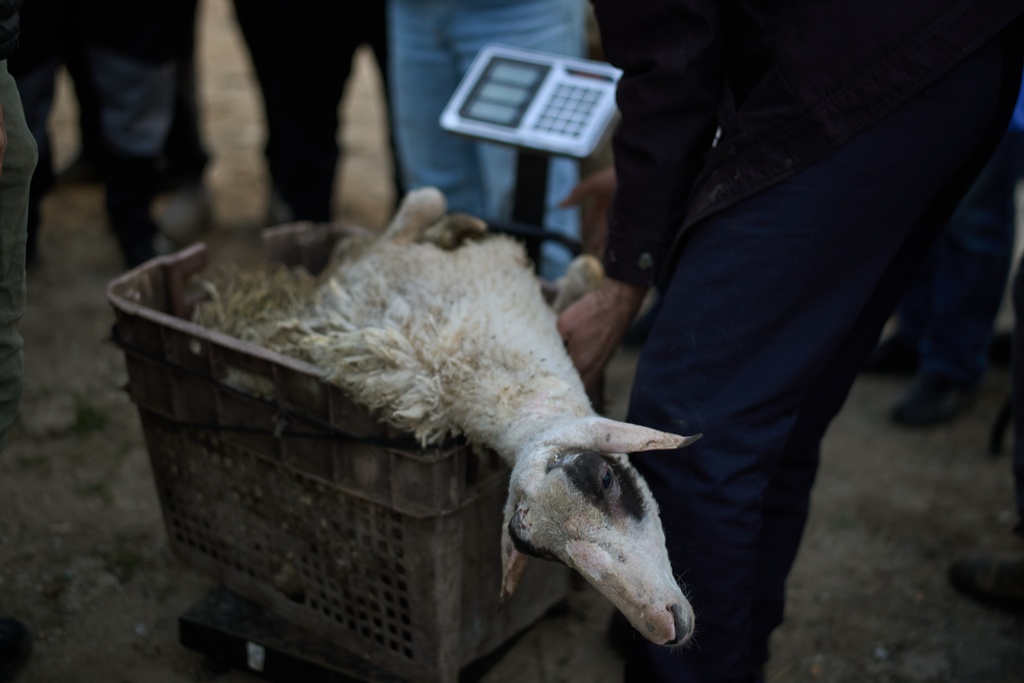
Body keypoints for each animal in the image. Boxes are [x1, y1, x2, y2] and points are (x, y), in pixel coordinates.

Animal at [195, 187, 701, 646]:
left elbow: (584, 266)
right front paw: (456, 225)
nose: (665, 628)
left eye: (606, 479)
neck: (468, 366)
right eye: (550, 556)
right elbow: (425, 200)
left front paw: (461, 227)